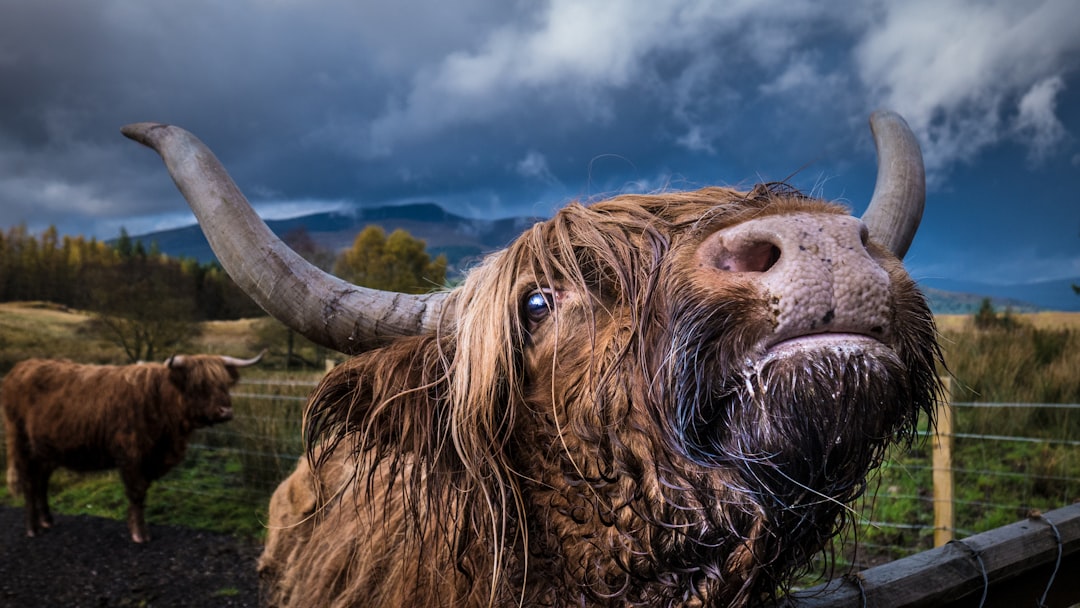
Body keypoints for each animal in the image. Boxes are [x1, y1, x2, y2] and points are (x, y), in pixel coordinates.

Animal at [3, 354, 263, 544]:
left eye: (225, 384)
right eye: (199, 384)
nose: (226, 411)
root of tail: (20, 367)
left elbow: (142, 493)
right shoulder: (130, 456)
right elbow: (136, 492)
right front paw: (140, 534)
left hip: (46, 451)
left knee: (41, 482)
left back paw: (47, 520)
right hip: (22, 444)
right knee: (29, 483)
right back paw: (33, 528)